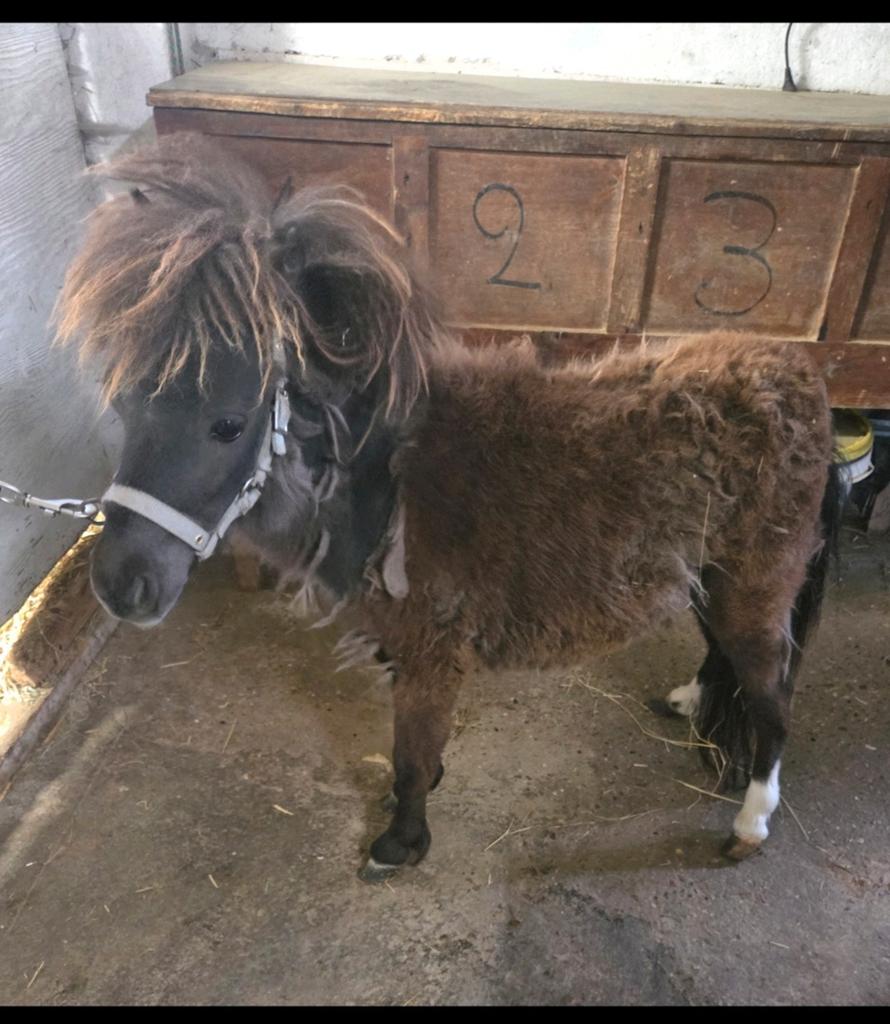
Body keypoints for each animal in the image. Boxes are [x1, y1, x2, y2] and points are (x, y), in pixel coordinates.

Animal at [56, 133, 840, 881]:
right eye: (124, 407)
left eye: (227, 424)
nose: (119, 585)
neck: (389, 481)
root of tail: (801, 378)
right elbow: (417, 749)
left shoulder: (431, 653)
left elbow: (409, 755)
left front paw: (400, 843)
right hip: (711, 577)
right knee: (723, 656)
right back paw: (689, 702)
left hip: (755, 586)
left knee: (771, 699)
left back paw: (750, 824)